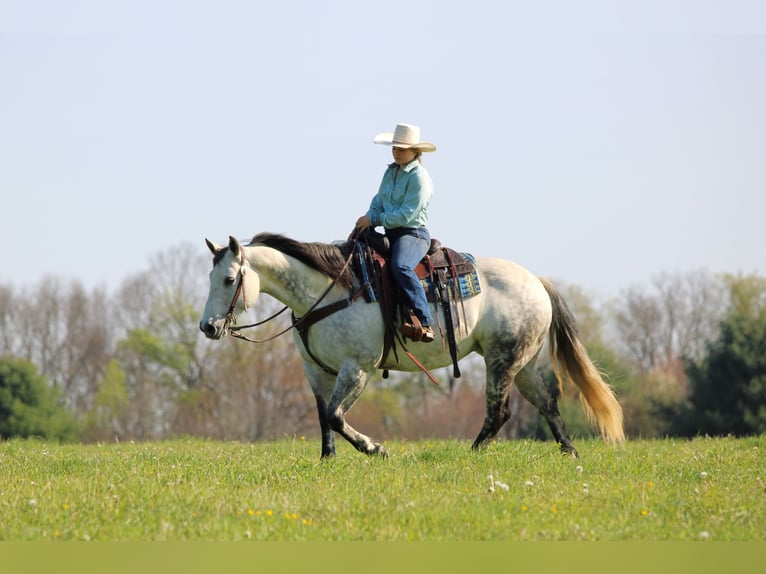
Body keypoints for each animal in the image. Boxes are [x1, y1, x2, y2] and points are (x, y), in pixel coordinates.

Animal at [199, 233, 624, 458]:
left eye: (230, 279)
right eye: (210, 277)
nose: (208, 327)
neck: (330, 292)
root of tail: (537, 281)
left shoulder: (358, 368)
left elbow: (336, 416)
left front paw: (375, 448)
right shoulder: (316, 372)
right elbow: (324, 418)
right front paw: (327, 460)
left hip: (502, 361)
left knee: (499, 412)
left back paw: (473, 454)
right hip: (523, 364)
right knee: (547, 402)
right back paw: (569, 453)